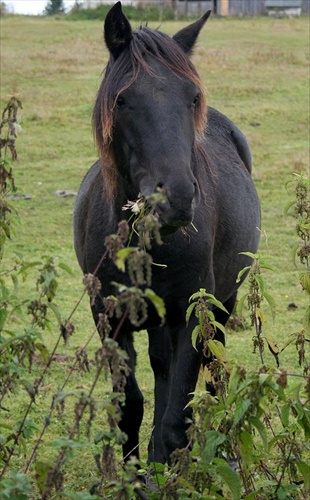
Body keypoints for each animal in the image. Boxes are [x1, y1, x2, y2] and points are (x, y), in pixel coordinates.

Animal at [74, 0, 260, 464]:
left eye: (192, 97)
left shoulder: (192, 314)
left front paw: (167, 468)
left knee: (213, 374)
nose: (175, 198)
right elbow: (131, 406)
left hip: (222, 304)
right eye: (123, 99)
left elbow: (178, 419)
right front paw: (133, 472)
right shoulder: (109, 317)